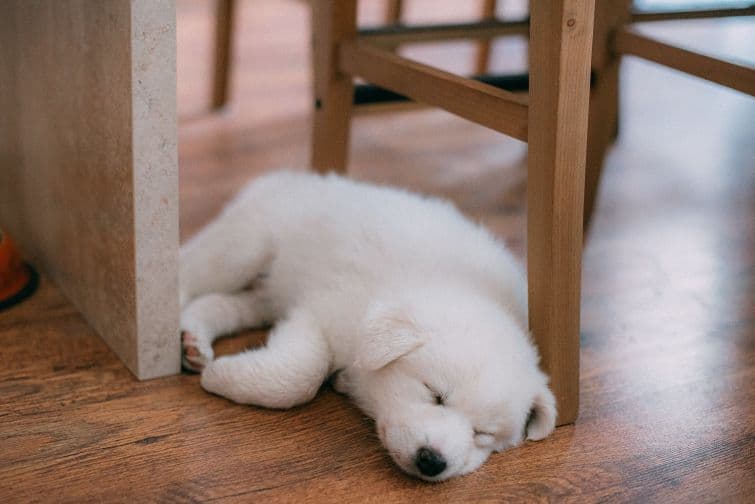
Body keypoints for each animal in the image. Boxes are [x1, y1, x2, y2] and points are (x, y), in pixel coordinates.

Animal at [177, 170, 556, 480]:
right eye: (435, 395)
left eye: (483, 434)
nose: (432, 461)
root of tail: (295, 177)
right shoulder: (320, 310)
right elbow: (300, 376)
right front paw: (220, 377)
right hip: (244, 246)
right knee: (192, 269)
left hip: (263, 293)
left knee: (223, 303)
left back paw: (192, 339)